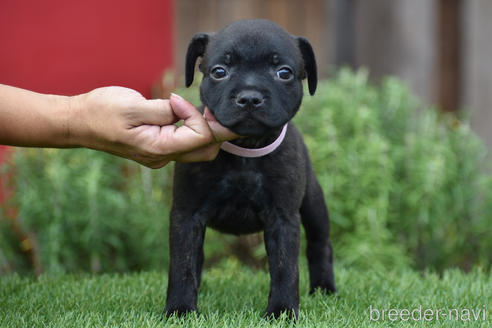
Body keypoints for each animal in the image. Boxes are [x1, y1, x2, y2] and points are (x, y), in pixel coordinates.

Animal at [163, 18, 336, 318]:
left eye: (284, 73)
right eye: (219, 71)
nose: (250, 97)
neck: (246, 146)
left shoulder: (283, 219)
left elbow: (285, 268)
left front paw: (282, 311)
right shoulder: (187, 215)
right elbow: (183, 264)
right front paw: (180, 309)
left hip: (314, 203)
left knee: (319, 243)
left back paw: (324, 289)